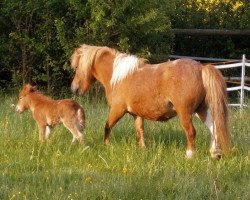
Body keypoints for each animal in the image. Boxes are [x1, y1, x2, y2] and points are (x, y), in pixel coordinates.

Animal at [70, 44, 230, 159]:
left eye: (77, 67)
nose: (74, 88)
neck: (117, 76)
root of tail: (201, 68)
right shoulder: (137, 114)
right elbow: (140, 131)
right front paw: (143, 150)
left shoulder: (117, 110)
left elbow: (107, 126)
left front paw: (106, 145)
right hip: (202, 110)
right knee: (213, 128)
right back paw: (214, 153)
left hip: (185, 112)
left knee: (191, 132)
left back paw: (189, 155)